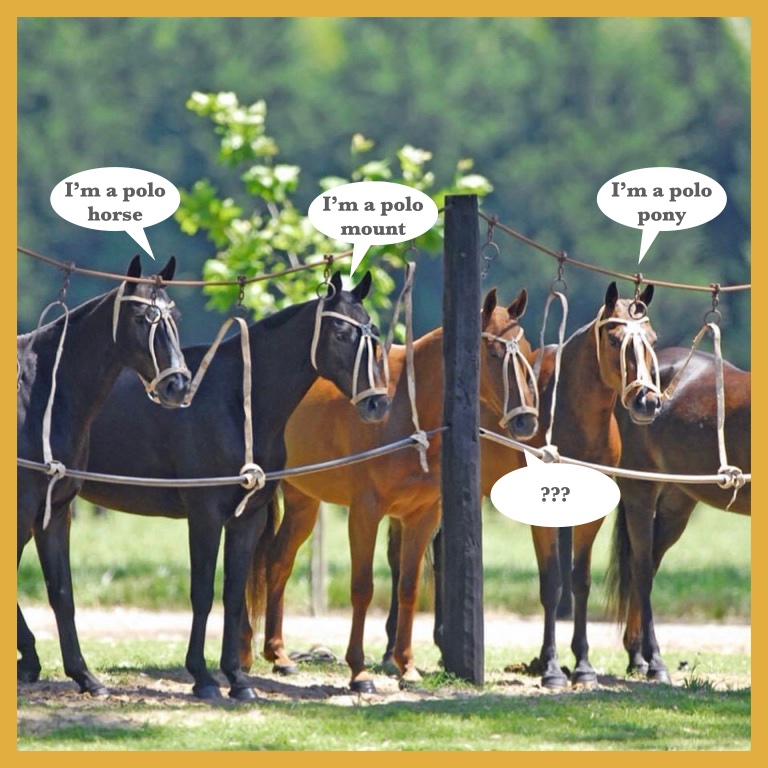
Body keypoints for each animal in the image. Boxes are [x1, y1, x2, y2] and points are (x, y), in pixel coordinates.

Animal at [17, 255, 190, 696]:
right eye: (142, 318)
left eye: (174, 316)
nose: (178, 385)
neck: (41, 394)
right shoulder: (21, 511)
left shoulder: (55, 513)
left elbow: (62, 593)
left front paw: (83, 675)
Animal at [79, 270, 390, 700]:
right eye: (342, 333)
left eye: (372, 332)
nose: (378, 403)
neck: (236, 402)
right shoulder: (205, 514)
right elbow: (203, 593)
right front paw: (203, 677)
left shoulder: (248, 517)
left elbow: (233, 592)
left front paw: (238, 680)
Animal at [242, 287, 539, 692]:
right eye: (492, 353)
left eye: (526, 348)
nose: (527, 421)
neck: (407, 410)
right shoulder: (365, 513)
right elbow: (362, 587)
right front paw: (359, 670)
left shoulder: (422, 517)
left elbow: (408, 587)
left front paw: (407, 666)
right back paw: (243, 654)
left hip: (304, 501)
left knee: (278, 561)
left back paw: (279, 654)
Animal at [606, 347, 751, 683]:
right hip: (639, 490)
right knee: (641, 570)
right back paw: (655, 662)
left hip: (676, 503)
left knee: (646, 566)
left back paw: (637, 658)